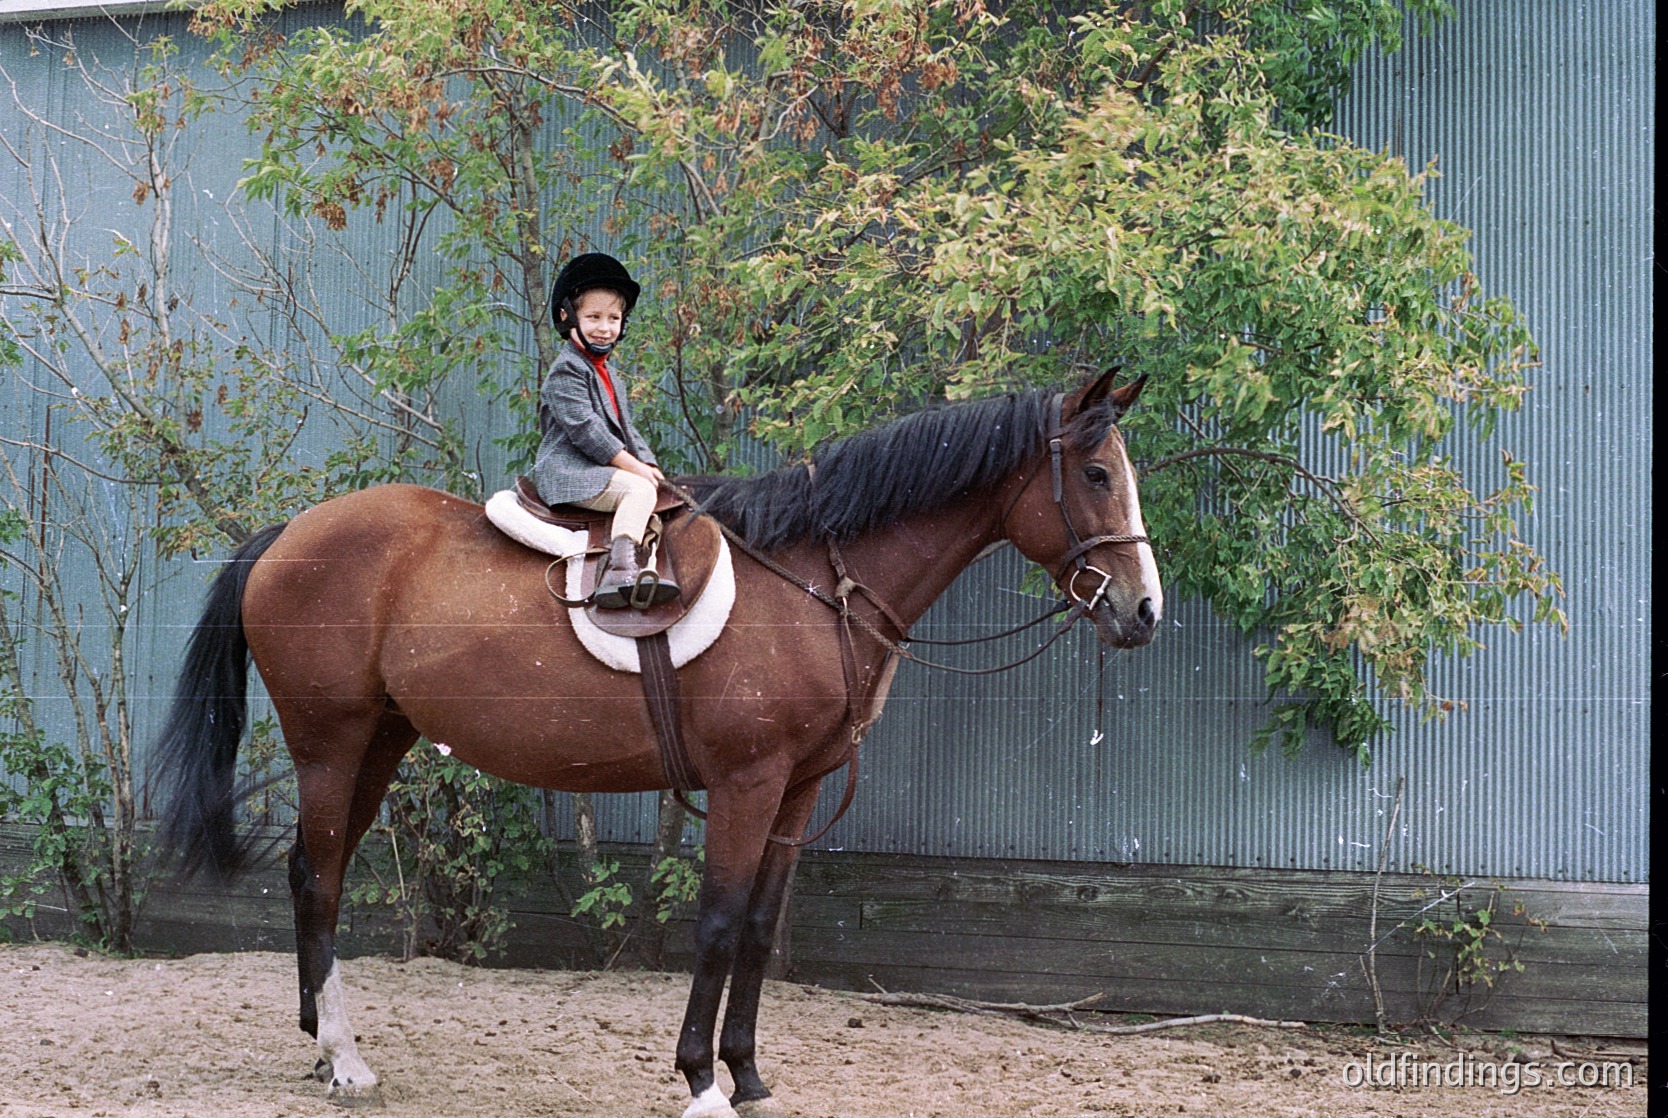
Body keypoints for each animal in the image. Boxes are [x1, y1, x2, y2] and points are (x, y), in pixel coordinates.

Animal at [154, 369, 1162, 1118]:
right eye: (1098, 475)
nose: (1144, 611)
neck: (813, 581)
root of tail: (291, 533)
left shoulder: (797, 790)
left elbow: (758, 926)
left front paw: (747, 1075)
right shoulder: (747, 783)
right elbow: (716, 921)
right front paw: (701, 1080)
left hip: (380, 744)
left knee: (306, 870)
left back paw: (317, 1044)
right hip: (331, 745)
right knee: (323, 877)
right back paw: (346, 1059)